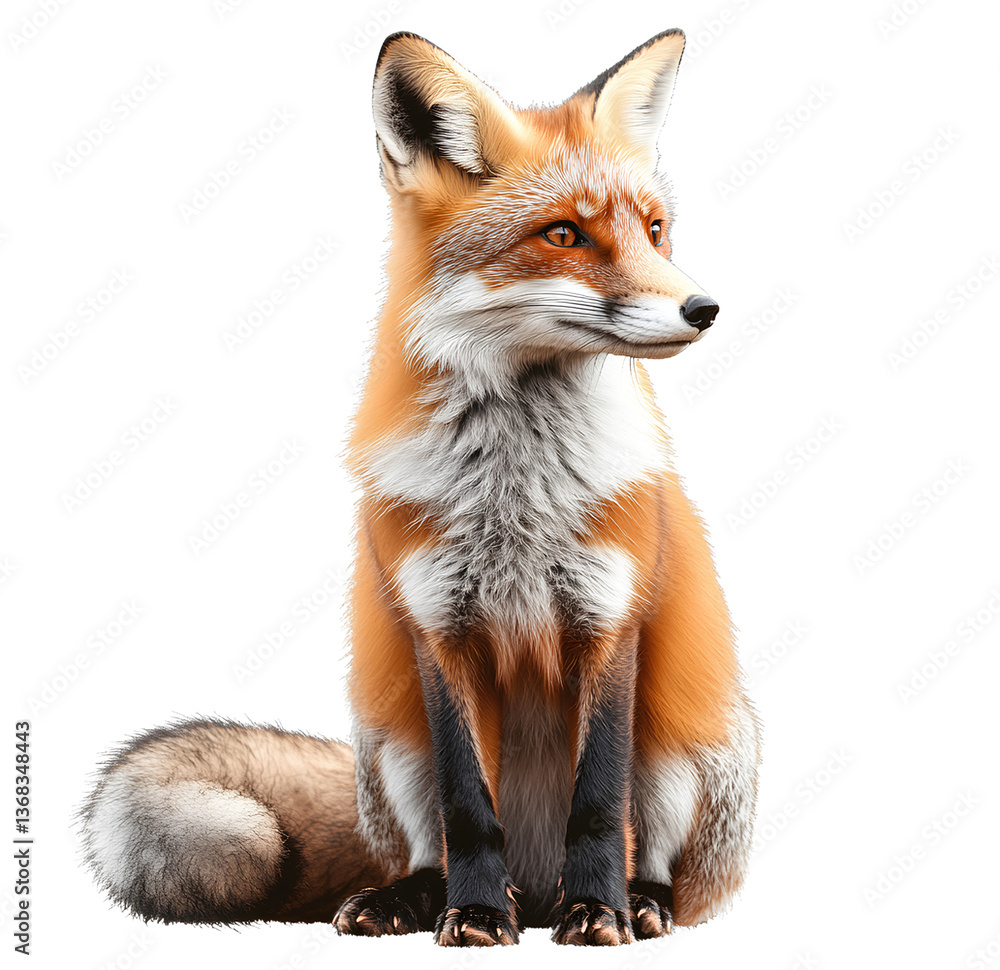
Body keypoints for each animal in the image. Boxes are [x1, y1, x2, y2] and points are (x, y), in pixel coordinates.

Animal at [81, 29, 760, 946]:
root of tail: (533, 885)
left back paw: (636, 901)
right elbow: (467, 805)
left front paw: (598, 911)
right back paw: (417, 898)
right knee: (426, 843)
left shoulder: (611, 623)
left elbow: (598, 802)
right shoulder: (438, 629)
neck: (515, 498)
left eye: (655, 230)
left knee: (665, 865)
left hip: (690, 745)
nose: (705, 307)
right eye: (564, 234)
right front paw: (471, 914)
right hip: (390, 746)